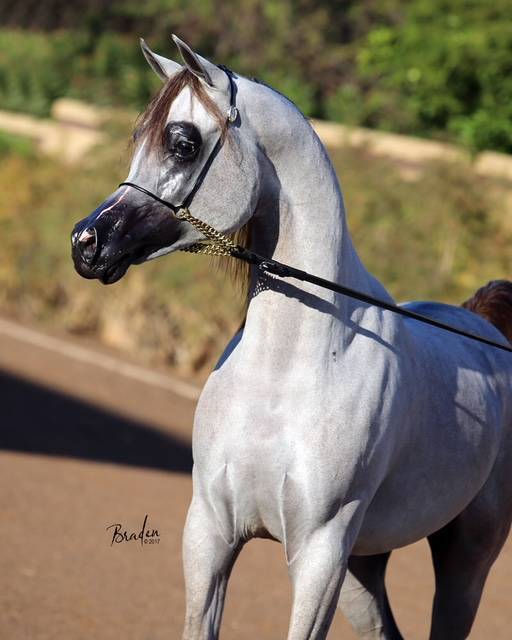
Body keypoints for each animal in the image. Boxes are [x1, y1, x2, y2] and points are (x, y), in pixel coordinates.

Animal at [71, 35, 512, 639]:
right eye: (140, 138)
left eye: (183, 143)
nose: (86, 243)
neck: (287, 373)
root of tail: (483, 322)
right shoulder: (209, 534)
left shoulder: (319, 556)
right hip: (364, 566)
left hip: (465, 558)